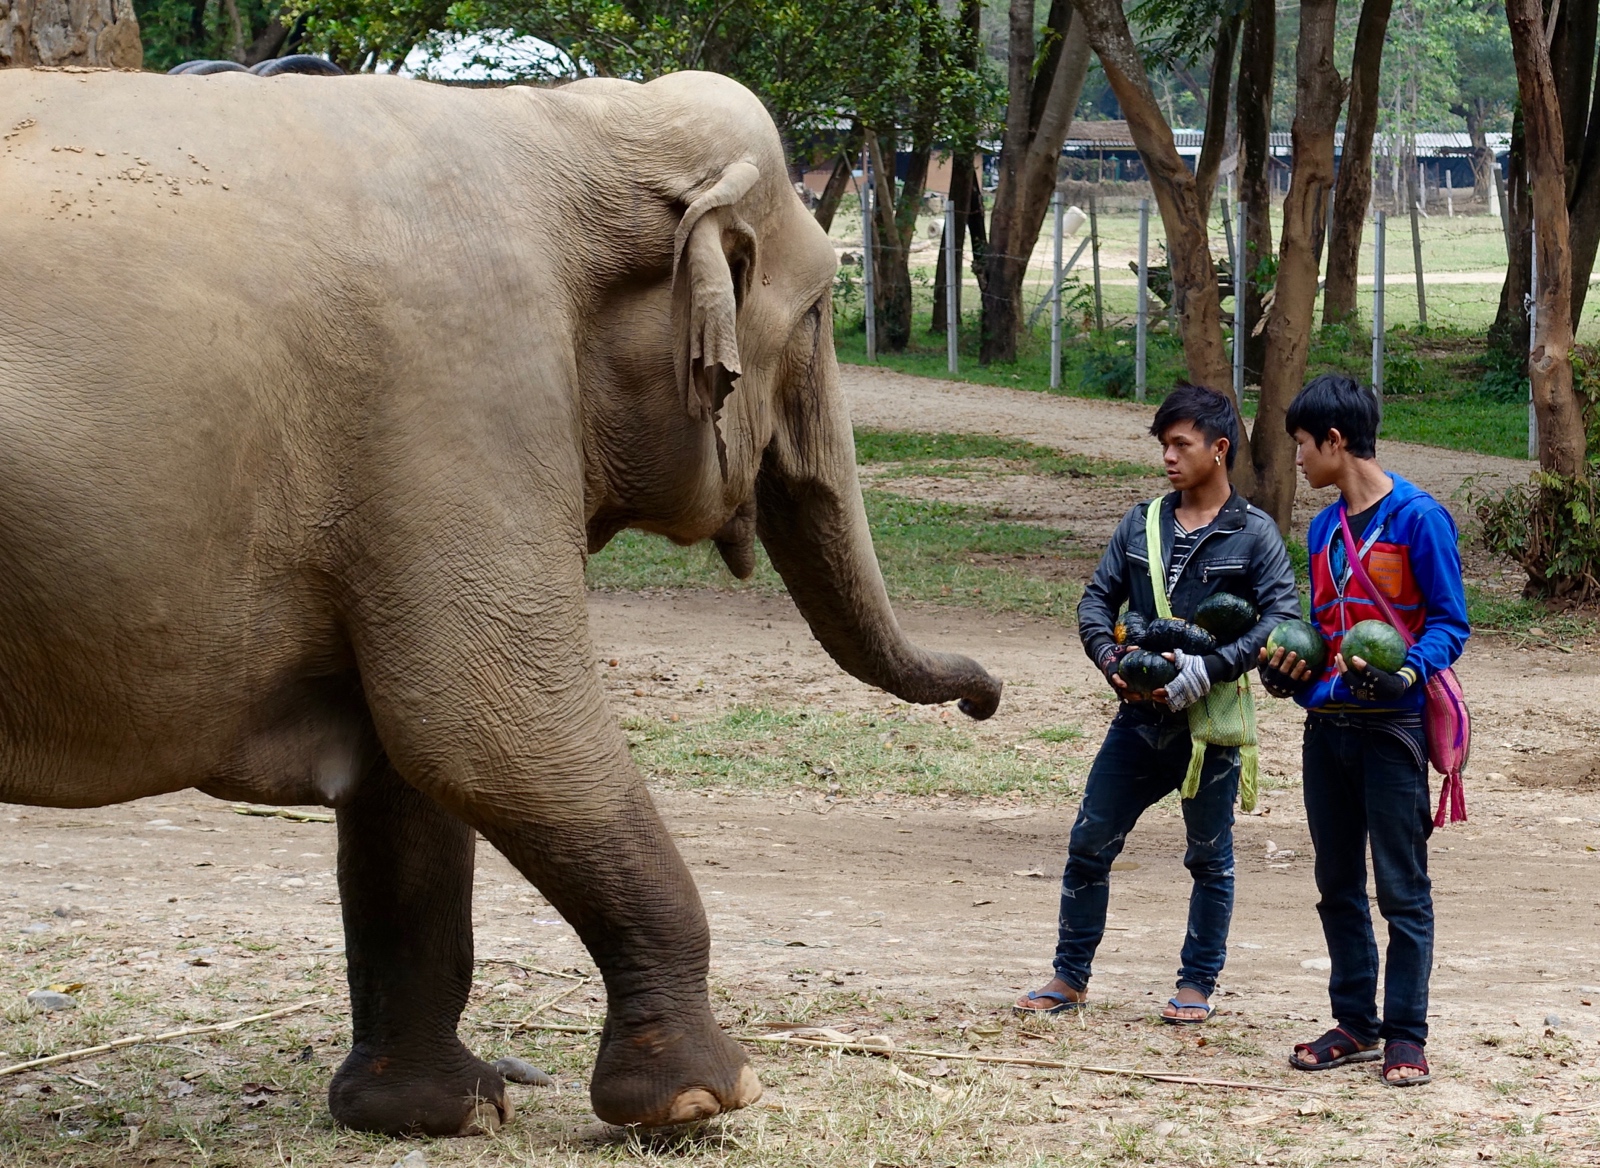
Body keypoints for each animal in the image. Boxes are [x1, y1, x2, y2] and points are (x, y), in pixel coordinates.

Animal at [0, 68, 1002, 1136]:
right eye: (816, 315)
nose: (985, 698)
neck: (560, 121)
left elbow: (408, 779)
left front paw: (436, 1111)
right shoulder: (468, 392)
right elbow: (491, 733)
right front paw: (703, 1100)